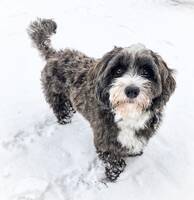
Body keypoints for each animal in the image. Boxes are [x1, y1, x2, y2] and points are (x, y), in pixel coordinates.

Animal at [28, 18, 177, 181]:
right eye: (118, 71)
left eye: (146, 72)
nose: (132, 90)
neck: (127, 114)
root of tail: (55, 54)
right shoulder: (105, 138)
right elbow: (112, 157)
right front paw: (114, 173)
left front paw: (134, 153)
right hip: (55, 93)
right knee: (59, 107)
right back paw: (65, 119)